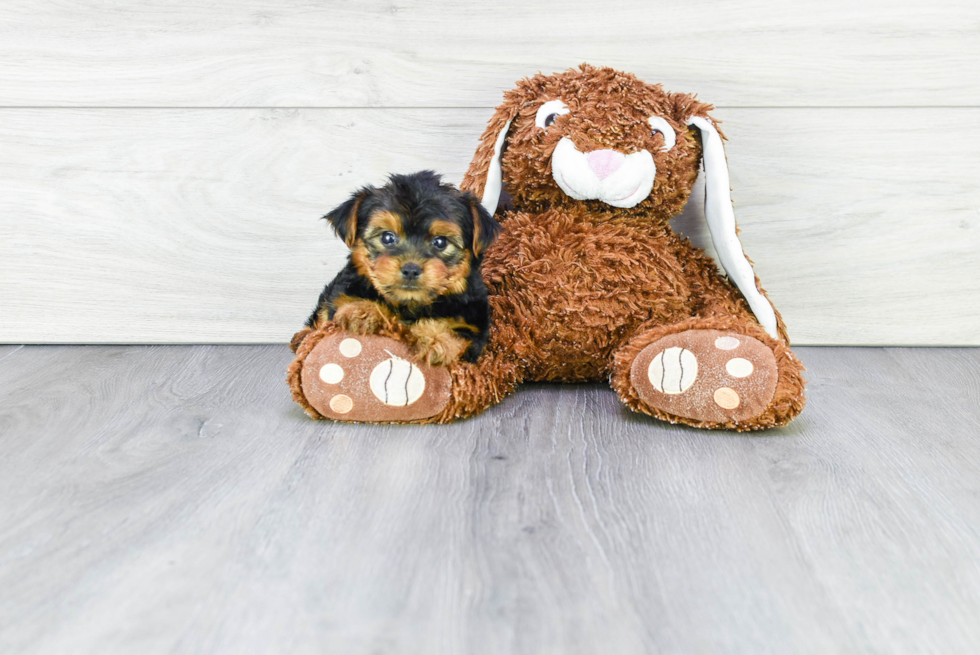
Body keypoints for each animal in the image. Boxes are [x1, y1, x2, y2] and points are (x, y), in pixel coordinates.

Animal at [292, 172, 502, 366]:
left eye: (440, 242)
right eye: (387, 237)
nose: (411, 269)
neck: (411, 305)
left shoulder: (474, 324)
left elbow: (458, 332)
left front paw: (435, 339)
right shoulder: (340, 295)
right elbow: (344, 304)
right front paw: (361, 309)